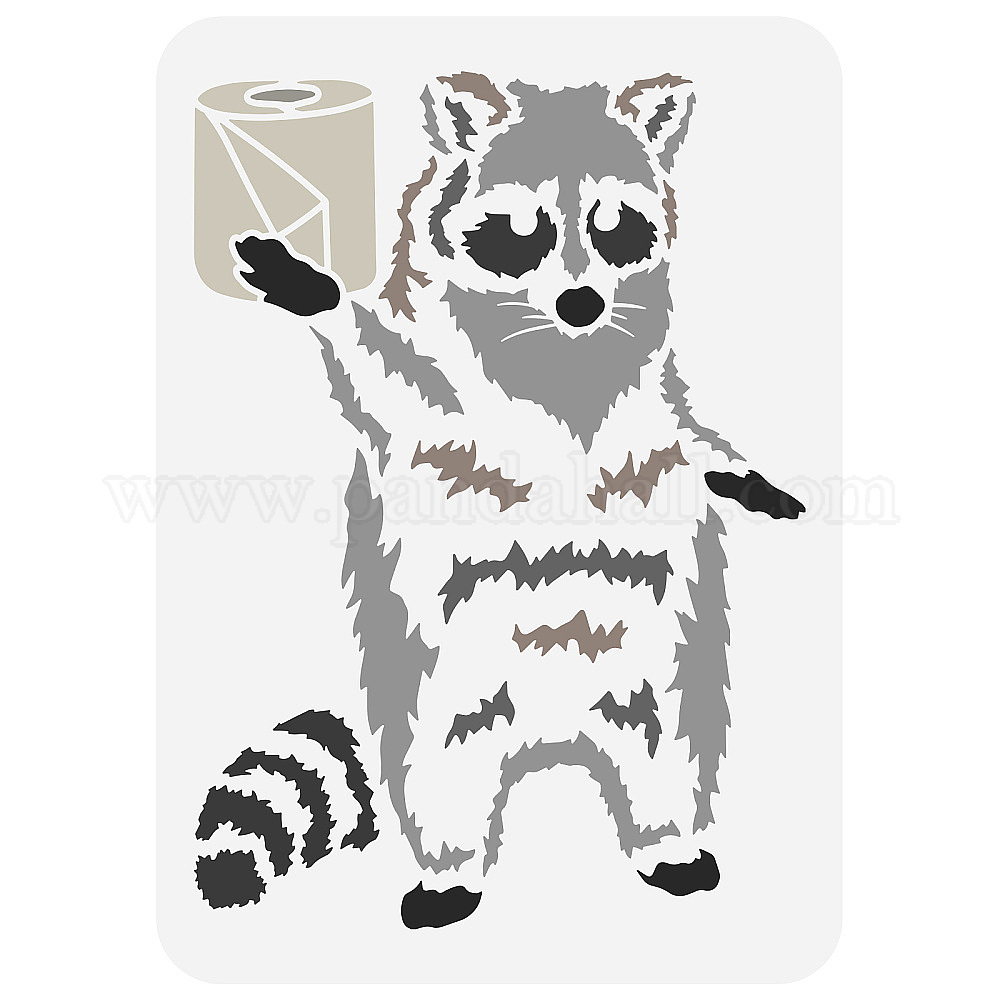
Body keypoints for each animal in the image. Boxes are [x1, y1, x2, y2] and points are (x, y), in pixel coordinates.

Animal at [197, 71, 805, 928]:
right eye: (523, 229)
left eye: (613, 222)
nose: (583, 305)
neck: (559, 357)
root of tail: (555, 740)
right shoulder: (442, 410)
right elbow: (395, 382)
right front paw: (319, 296)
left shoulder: (652, 405)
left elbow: (685, 441)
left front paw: (739, 473)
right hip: (439, 702)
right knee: (437, 785)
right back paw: (450, 872)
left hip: (666, 682)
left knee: (674, 759)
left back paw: (668, 844)